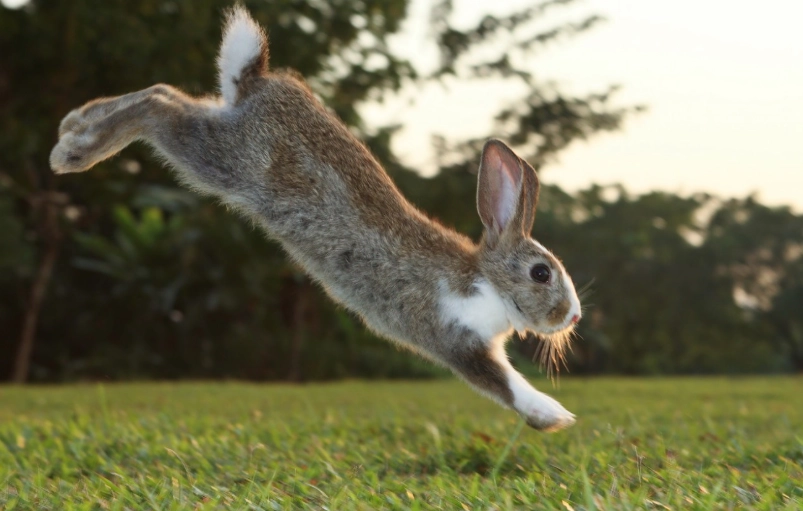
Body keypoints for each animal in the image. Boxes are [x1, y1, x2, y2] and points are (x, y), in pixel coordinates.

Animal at [50, 6, 582, 431]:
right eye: (541, 273)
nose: (573, 316)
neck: (485, 279)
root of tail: (258, 81)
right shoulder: (455, 339)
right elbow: (504, 383)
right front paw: (554, 416)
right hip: (222, 159)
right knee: (158, 106)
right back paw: (72, 152)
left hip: (218, 131)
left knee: (166, 93)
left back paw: (74, 123)